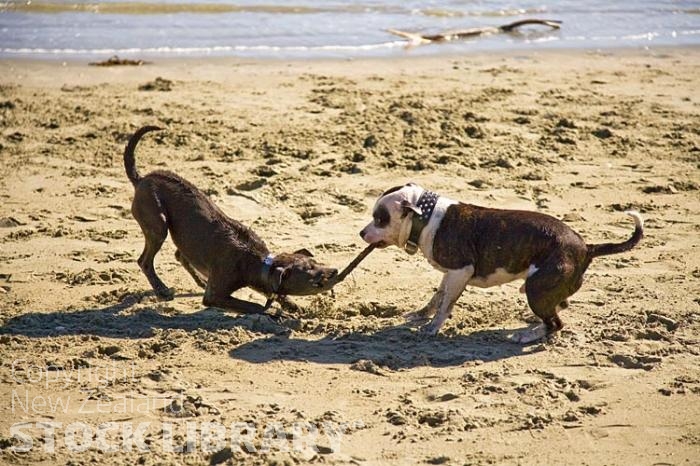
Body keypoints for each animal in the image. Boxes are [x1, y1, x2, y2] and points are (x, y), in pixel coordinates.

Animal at [125, 125, 340, 314]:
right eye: (310, 271)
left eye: (315, 262)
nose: (335, 271)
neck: (258, 261)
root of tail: (141, 179)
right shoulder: (215, 295)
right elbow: (251, 305)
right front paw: (274, 312)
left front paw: (293, 306)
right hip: (158, 224)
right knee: (145, 261)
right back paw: (162, 290)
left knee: (180, 255)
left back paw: (199, 280)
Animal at [360, 184, 644, 344]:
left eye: (380, 218)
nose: (362, 233)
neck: (427, 217)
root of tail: (586, 248)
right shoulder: (450, 274)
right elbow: (437, 296)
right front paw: (422, 315)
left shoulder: (460, 271)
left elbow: (445, 305)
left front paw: (432, 329)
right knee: (557, 311)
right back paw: (535, 326)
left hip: (537, 290)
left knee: (556, 324)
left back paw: (527, 336)